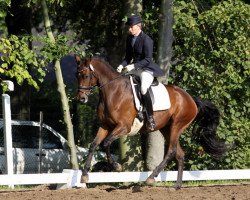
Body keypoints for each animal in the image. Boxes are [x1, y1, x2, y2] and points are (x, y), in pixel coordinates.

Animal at [74, 55, 229, 189]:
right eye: (77, 75)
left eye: (86, 75)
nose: (81, 99)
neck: (113, 91)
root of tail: (190, 98)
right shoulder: (105, 126)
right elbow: (94, 145)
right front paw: (84, 176)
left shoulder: (123, 127)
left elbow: (106, 143)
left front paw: (117, 167)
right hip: (166, 128)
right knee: (179, 154)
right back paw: (177, 186)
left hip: (177, 126)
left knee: (171, 151)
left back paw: (151, 178)